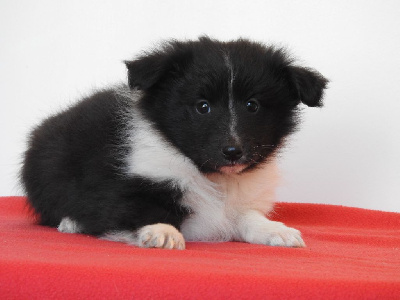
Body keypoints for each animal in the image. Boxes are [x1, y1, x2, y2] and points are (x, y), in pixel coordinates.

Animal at [21, 37, 328, 248]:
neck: (215, 179)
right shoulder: (123, 185)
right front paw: (162, 231)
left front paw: (276, 230)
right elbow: (136, 208)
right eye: (202, 106)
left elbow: (246, 216)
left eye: (253, 105)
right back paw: (70, 223)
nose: (232, 152)